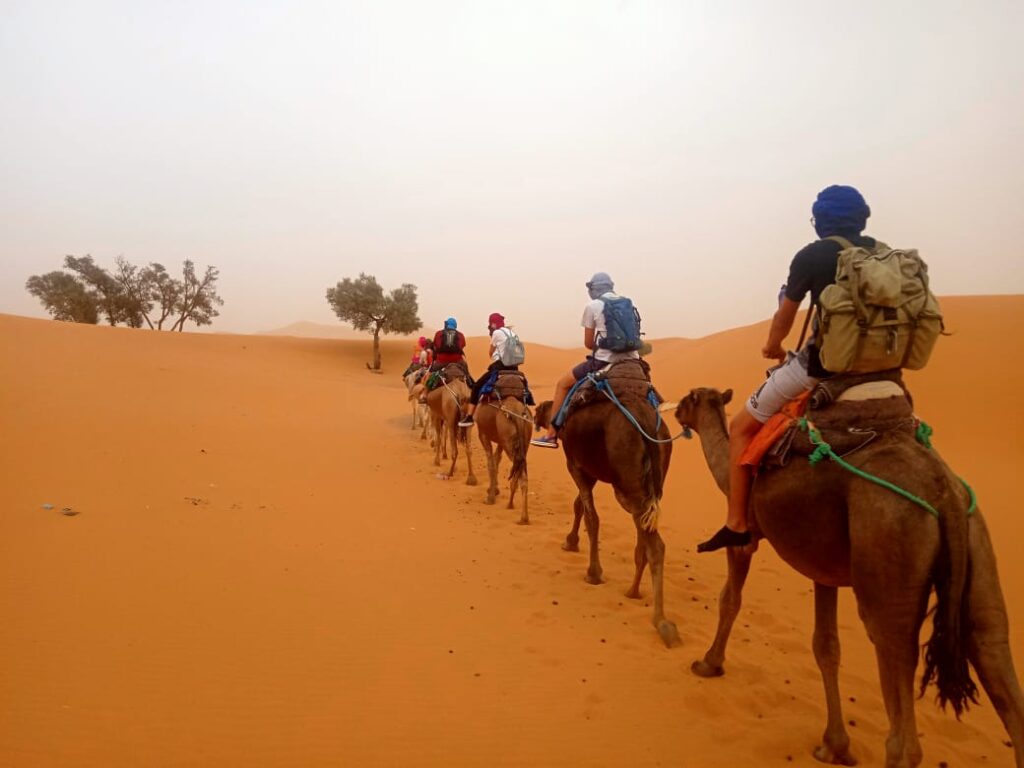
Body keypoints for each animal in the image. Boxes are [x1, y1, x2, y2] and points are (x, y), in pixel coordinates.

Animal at [475, 387, 532, 528]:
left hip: (509, 442)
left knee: (519, 473)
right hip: (521, 443)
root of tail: (518, 414)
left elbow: (491, 463)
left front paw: (490, 497)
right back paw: (518, 511)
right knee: (521, 473)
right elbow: (497, 460)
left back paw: (521, 515)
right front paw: (494, 490)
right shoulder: (500, 441)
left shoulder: (483, 434)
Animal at [536, 385, 679, 651]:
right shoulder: (589, 470)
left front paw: (593, 572)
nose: (535, 416)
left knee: (655, 544)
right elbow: (579, 506)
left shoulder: (575, 465)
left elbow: (592, 518)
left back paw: (662, 621)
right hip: (650, 482)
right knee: (645, 534)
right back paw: (633, 591)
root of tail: (646, 421)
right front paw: (571, 541)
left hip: (627, 480)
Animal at [671, 391, 1024, 768]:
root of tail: (944, 496)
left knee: (896, 677)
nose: (675, 412)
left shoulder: (745, 539)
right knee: (992, 648)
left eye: (689, 399)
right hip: (977, 545)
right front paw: (835, 745)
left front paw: (708, 663)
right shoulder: (821, 565)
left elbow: (730, 600)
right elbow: (826, 646)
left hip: (888, 546)